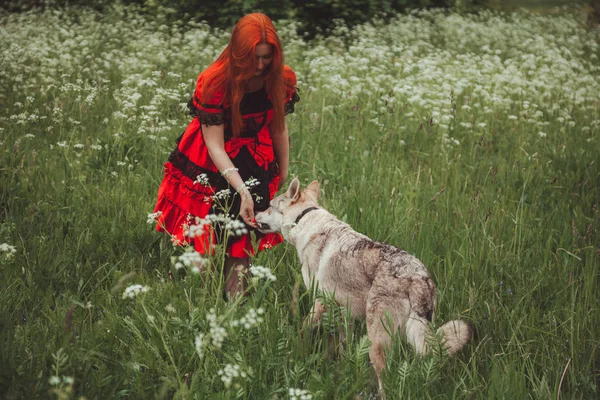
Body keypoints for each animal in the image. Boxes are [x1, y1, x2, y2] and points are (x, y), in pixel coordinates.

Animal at [255, 177, 476, 390]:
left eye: (270, 206)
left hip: (377, 342)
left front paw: (295, 347)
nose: (255, 214)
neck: (304, 221)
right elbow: (343, 345)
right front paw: (343, 367)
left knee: (386, 378)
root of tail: (418, 277)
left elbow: (303, 329)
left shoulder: (320, 301)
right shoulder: (344, 310)